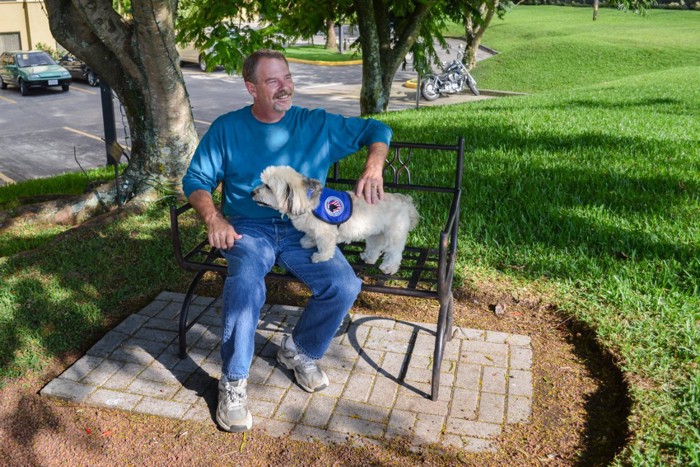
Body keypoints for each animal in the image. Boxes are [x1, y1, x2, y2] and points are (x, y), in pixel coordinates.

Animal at [250, 165, 416, 274]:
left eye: (268, 186)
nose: (252, 192)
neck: (307, 201)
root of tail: (405, 202)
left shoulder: (326, 233)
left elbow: (325, 246)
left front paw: (321, 257)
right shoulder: (313, 228)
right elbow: (311, 235)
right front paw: (308, 241)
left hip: (394, 234)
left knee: (394, 252)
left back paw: (389, 267)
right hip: (376, 232)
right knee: (375, 246)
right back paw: (368, 257)